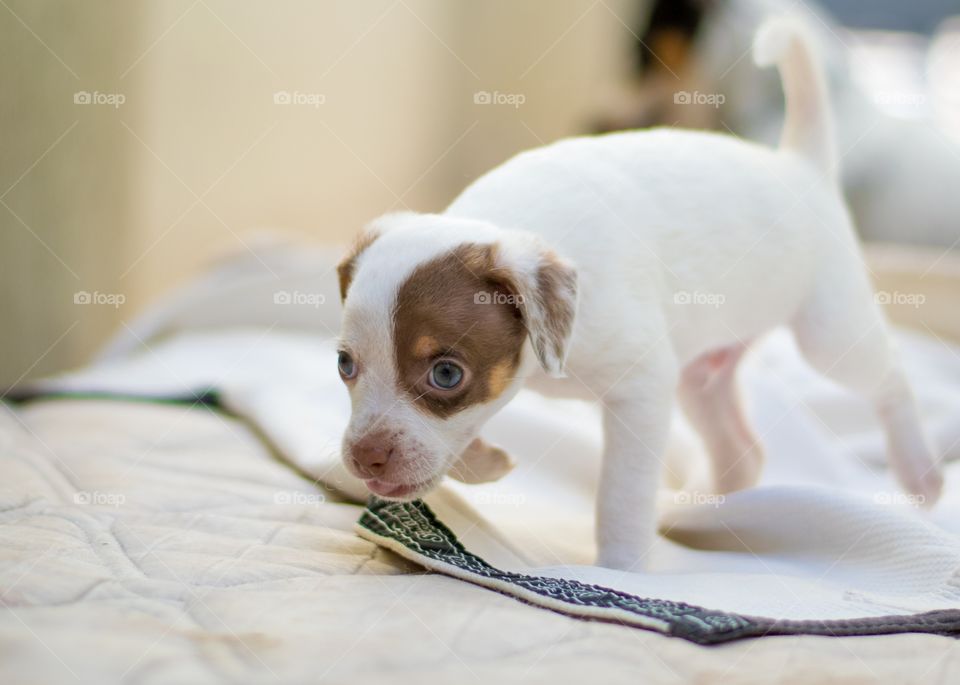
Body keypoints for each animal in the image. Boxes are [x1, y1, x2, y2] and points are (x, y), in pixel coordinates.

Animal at [334, 18, 940, 568]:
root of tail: (800, 164)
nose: (365, 459)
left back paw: (921, 472)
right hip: (700, 374)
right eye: (344, 365)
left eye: (446, 374)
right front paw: (488, 462)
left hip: (830, 333)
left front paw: (621, 569)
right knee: (742, 450)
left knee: (890, 378)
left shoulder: (642, 388)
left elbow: (621, 496)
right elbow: (451, 449)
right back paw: (700, 512)